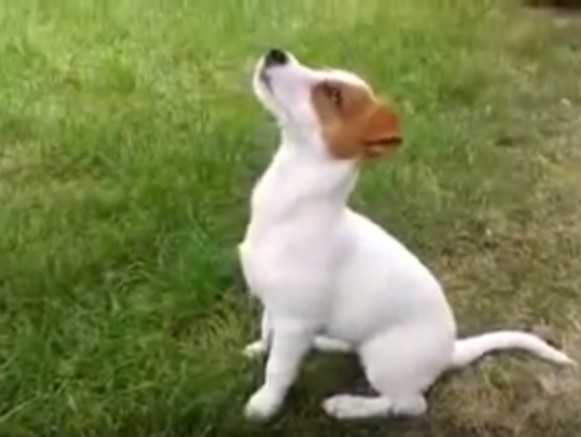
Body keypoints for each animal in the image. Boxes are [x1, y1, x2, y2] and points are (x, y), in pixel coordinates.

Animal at [239, 49, 575, 422]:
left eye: (333, 95)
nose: (277, 53)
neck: (293, 206)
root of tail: (449, 351)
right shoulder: (277, 308)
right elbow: (267, 329)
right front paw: (258, 349)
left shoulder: (295, 321)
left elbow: (278, 369)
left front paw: (263, 405)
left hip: (384, 361)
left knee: (408, 403)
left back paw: (349, 405)